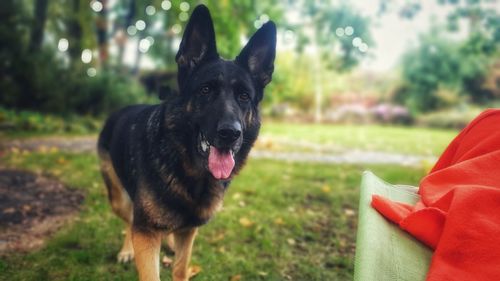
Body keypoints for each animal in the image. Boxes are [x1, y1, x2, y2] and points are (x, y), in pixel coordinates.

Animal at [96, 4, 278, 280]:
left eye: (244, 96)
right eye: (205, 90)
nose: (231, 133)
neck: (190, 172)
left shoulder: (189, 230)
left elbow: (181, 268)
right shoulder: (146, 232)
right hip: (119, 200)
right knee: (128, 220)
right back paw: (127, 250)